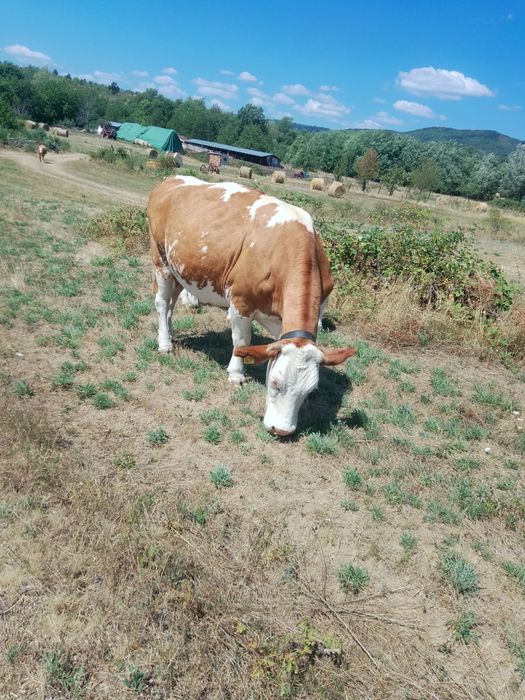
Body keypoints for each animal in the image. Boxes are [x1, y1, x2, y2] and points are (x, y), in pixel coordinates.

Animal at [148, 175, 355, 436]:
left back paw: (169, 333)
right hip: (161, 259)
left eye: (310, 391)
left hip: (180, 269)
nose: (282, 430)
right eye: (275, 383)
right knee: (162, 302)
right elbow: (242, 342)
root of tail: (173, 179)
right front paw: (236, 374)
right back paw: (165, 343)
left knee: (171, 304)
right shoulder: (241, 301)